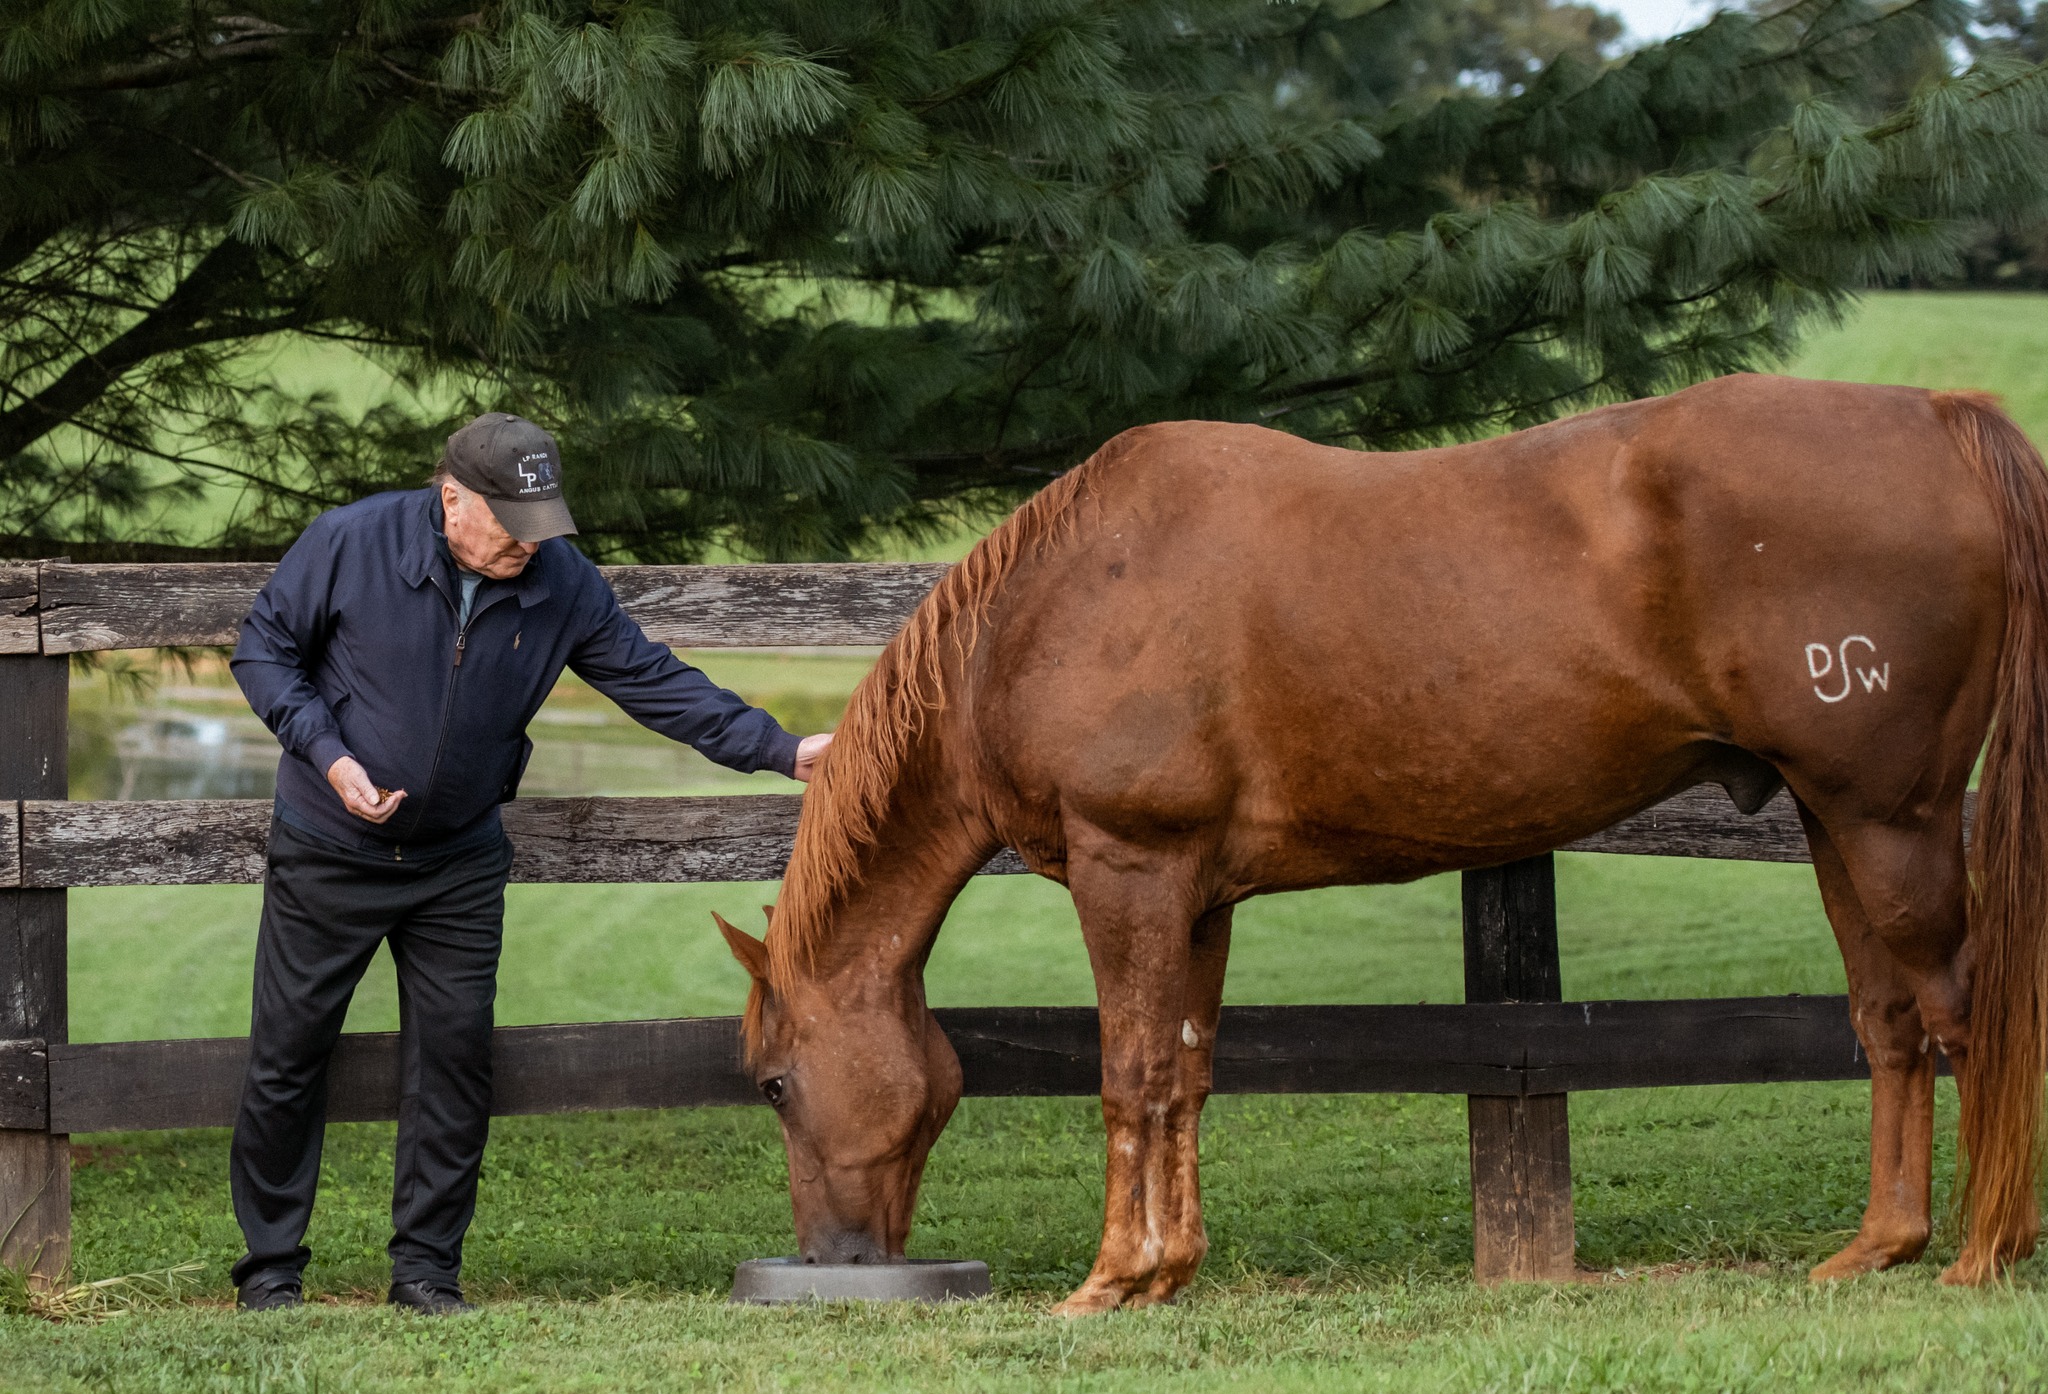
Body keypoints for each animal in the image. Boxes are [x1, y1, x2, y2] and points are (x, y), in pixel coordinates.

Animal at [716, 373, 2048, 1314]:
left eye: (774, 1082)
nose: (836, 1255)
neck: (1045, 608)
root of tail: (1937, 415)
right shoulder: (1197, 894)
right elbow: (1187, 1069)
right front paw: (1168, 1268)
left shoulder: (1125, 869)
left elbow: (1128, 1072)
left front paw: (1107, 1278)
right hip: (1835, 820)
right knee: (1887, 1020)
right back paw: (1875, 1246)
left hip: (1892, 820)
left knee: (1963, 1005)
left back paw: (1978, 1252)